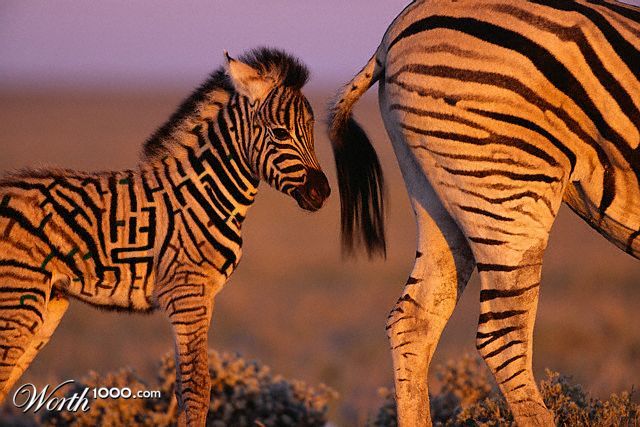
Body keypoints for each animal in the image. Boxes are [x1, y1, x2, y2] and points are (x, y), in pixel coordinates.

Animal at [0, 47, 330, 426]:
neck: (206, 193)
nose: (323, 192)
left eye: (311, 131)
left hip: (47, 303)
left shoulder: (202, 296)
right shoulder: (186, 292)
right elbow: (198, 387)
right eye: (279, 133)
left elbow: (184, 388)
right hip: (17, 296)